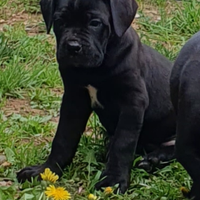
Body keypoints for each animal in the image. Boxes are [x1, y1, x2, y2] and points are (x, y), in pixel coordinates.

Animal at [17, 0, 177, 193]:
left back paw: (154, 159)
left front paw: (114, 180)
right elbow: (63, 138)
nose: (73, 47)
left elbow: (123, 143)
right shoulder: (74, 99)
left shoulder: (133, 102)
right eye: (60, 21)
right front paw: (46, 171)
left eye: (95, 23)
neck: (95, 69)